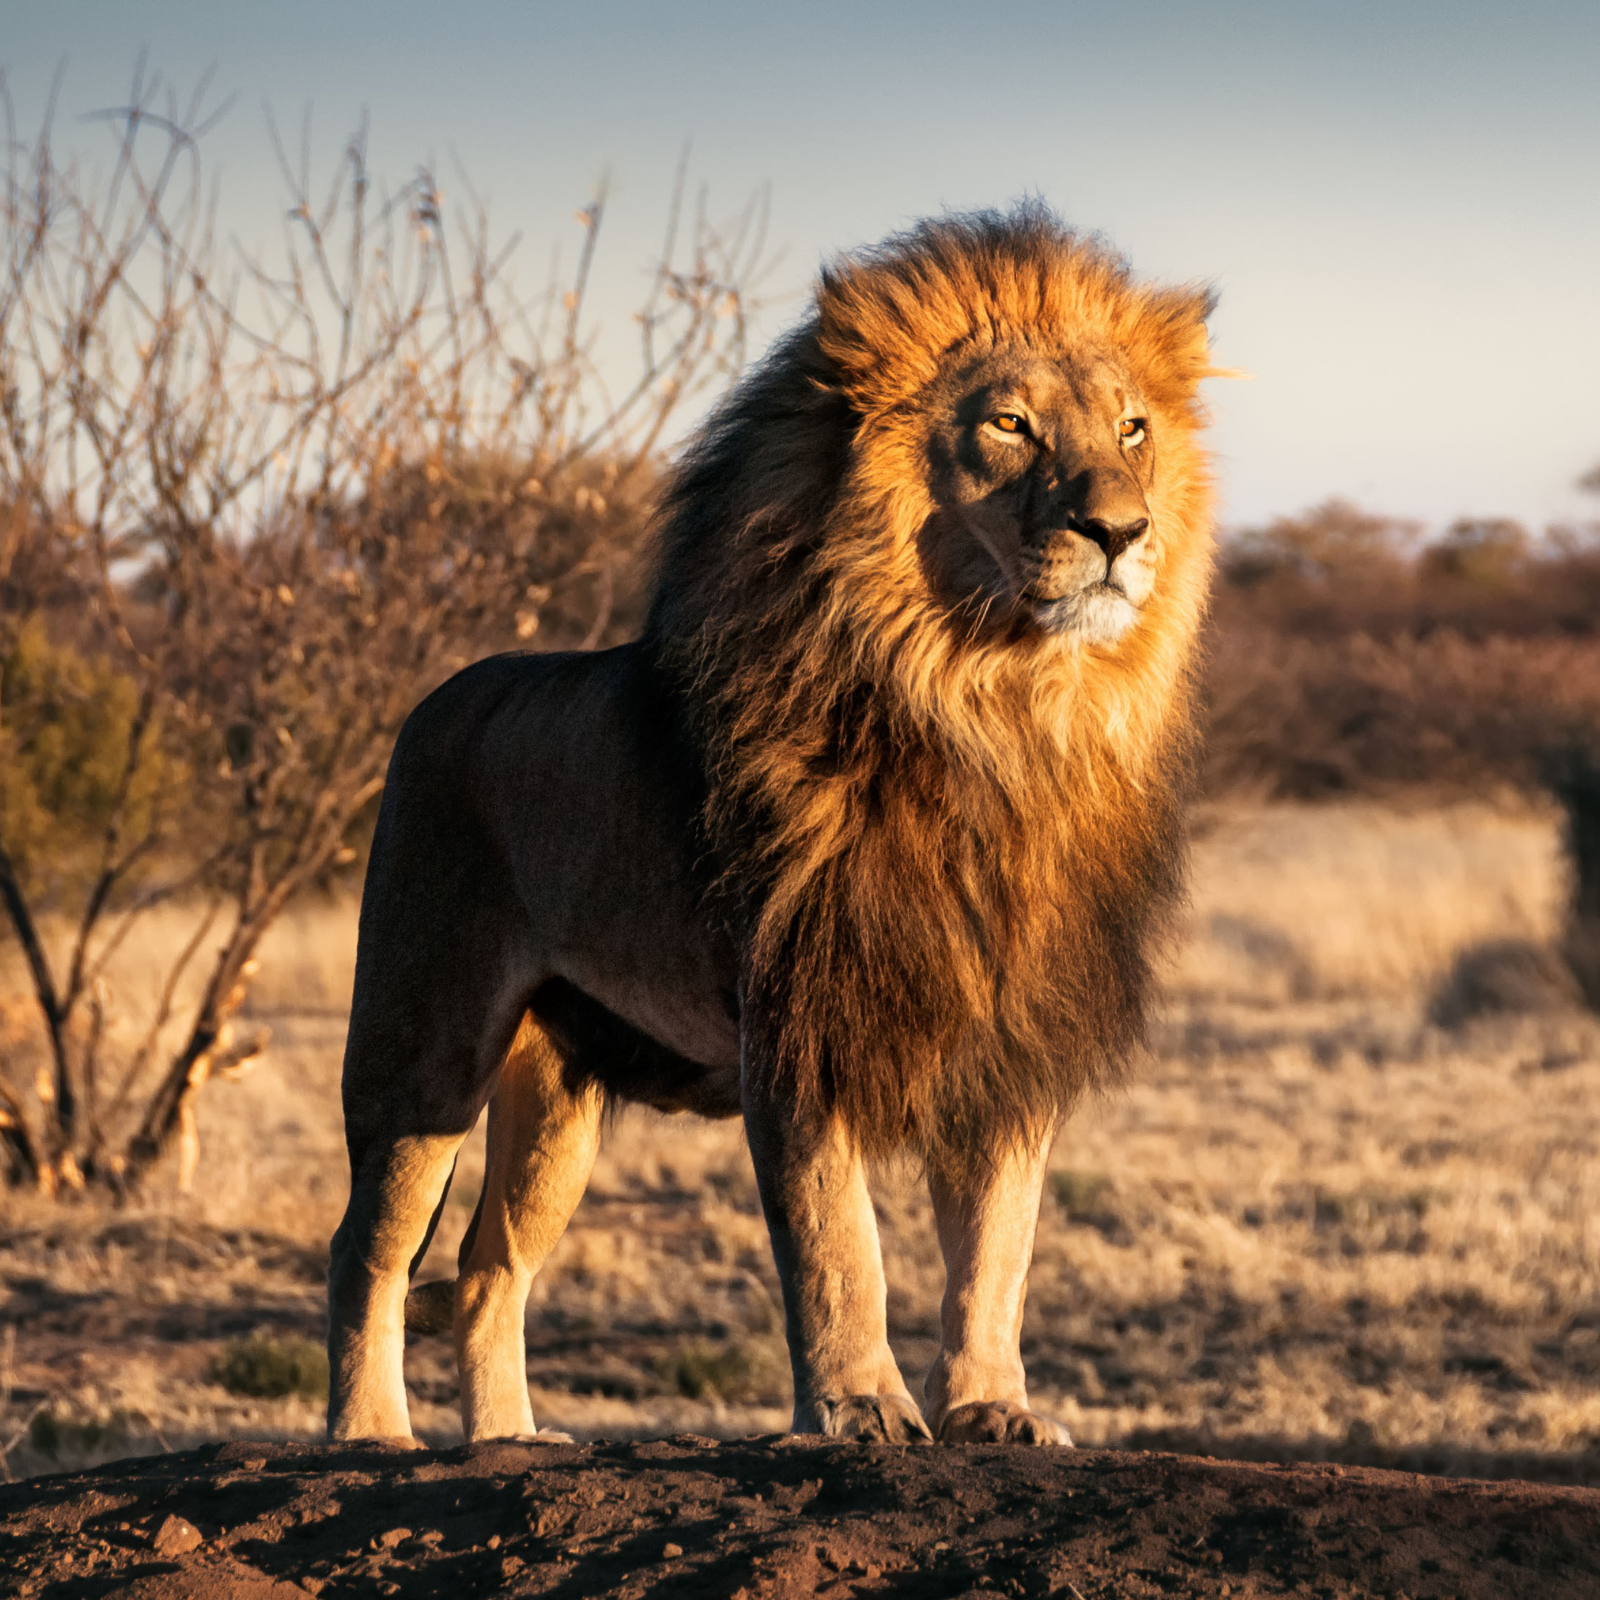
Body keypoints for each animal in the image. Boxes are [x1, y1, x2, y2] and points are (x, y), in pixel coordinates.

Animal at [326, 204, 1219, 1448]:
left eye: (1133, 429)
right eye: (1008, 424)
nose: (1121, 529)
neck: (993, 711)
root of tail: (436, 697)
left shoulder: (1007, 1035)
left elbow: (997, 1246)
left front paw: (992, 1408)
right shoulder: (799, 1015)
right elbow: (839, 1241)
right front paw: (859, 1407)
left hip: (557, 1095)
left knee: (489, 1265)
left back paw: (508, 1439)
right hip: (423, 1044)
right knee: (367, 1246)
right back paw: (369, 1432)